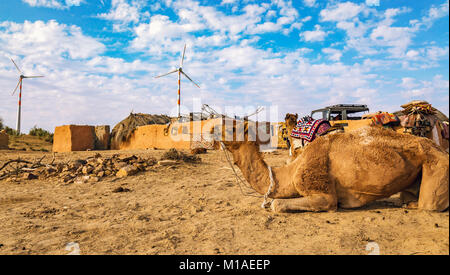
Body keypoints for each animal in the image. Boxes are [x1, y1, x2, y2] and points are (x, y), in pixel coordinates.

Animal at [216, 122, 448, 215]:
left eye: (233, 128)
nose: (213, 128)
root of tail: (440, 149)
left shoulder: (324, 193)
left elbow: (276, 204)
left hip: (439, 166)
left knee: (429, 205)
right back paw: (408, 203)